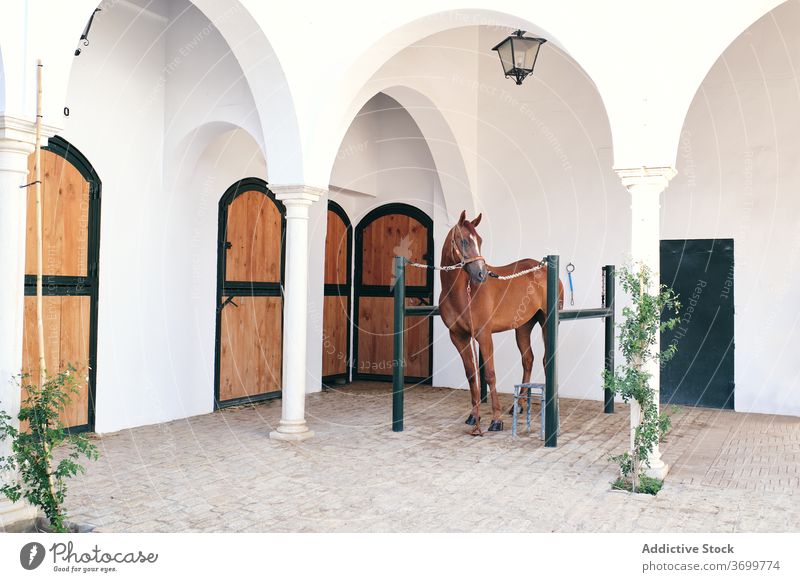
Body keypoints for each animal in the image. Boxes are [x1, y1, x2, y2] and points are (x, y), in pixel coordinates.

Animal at [438, 212, 564, 436]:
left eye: (479, 241)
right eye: (464, 241)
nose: (481, 274)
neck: (462, 292)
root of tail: (545, 267)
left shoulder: (484, 334)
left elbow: (489, 374)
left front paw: (495, 420)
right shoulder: (458, 336)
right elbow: (471, 375)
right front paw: (474, 417)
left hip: (548, 323)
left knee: (547, 360)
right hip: (523, 327)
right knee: (528, 360)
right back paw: (519, 405)